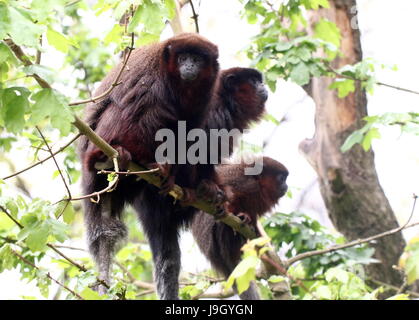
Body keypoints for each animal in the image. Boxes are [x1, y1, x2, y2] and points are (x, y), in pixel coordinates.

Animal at [193, 158, 288, 300]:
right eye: (282, 179)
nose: (286, 186)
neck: (258, 183)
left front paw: (253, 226)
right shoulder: (244, 183)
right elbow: (225, 194)